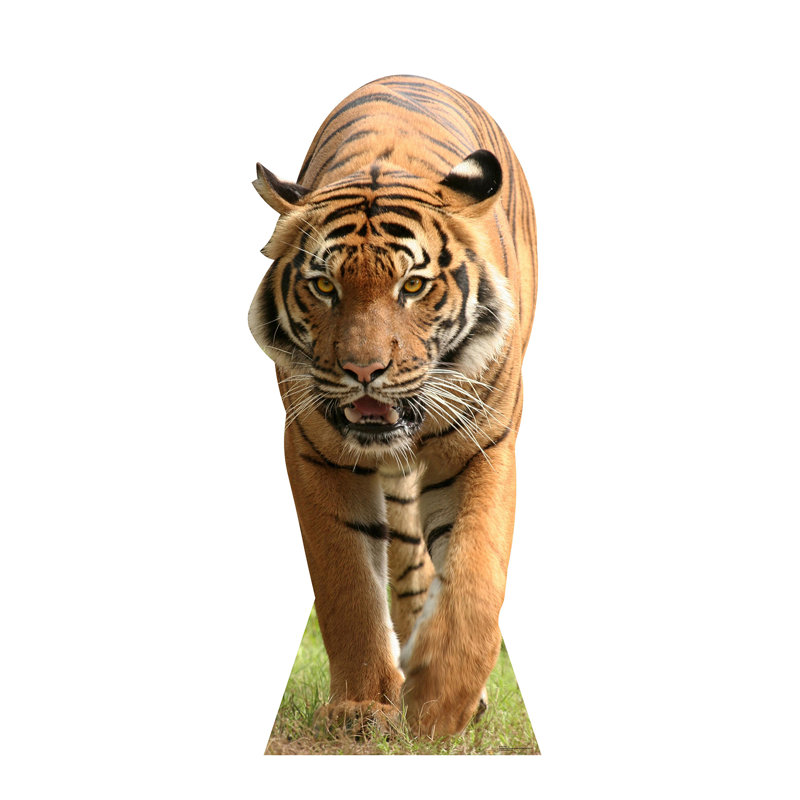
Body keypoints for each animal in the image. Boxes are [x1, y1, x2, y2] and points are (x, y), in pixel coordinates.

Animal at [249, 75, 537, 738]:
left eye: (413, 285)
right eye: (323, 285)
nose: (363, 372)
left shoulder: (486, 445)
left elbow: (476, 572)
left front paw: (444, 702)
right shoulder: (313, 451)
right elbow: (346, 583)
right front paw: (363, 705)